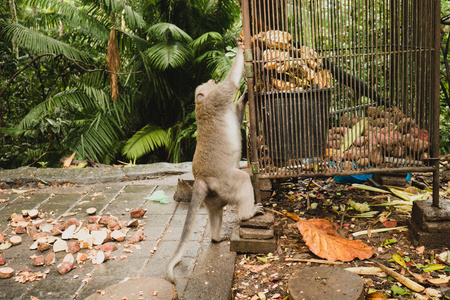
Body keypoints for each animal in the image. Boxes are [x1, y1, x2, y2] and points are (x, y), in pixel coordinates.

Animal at [164, 42, 264, 284]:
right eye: (208, 84)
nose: (211, 79)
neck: (200, 104)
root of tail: (200, 179)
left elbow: (237, 112)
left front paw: (245, 96)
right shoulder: (217, 98)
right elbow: (230, 85)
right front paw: (241, 50)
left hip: (213, 196)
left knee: (216, 212)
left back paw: (217, 238)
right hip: (225, 181)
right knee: (243, 179)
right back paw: (248, 214)